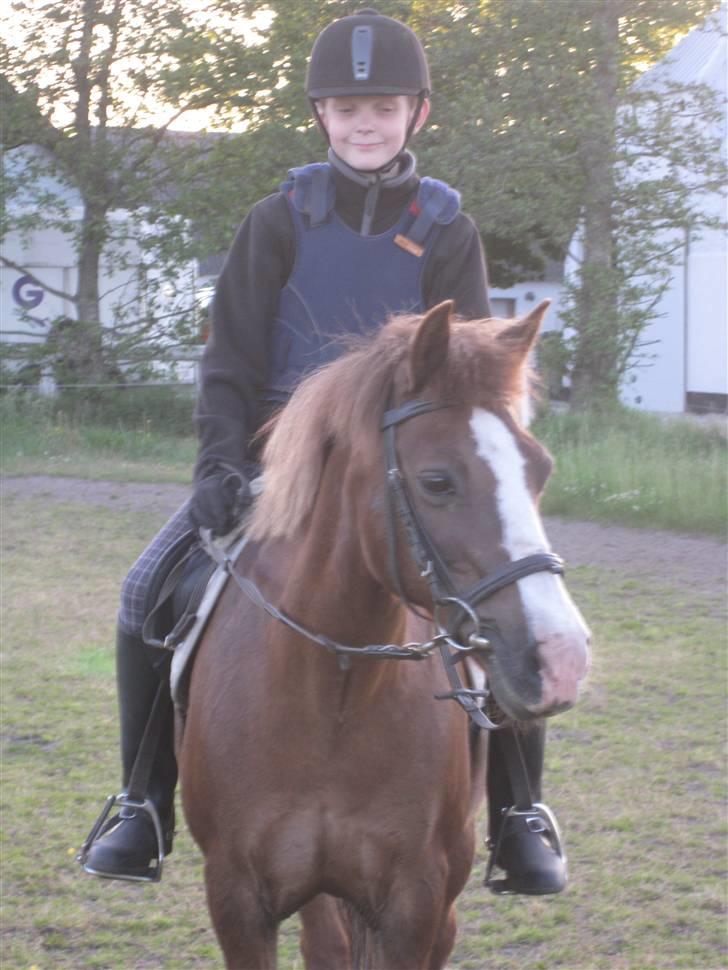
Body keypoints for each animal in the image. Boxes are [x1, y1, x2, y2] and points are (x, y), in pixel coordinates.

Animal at [178, 299, 590, 969]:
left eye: (541, 471)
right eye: (438, 481)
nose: (561, 657)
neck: (333, 697)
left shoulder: (413, 903)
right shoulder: (237, 901)